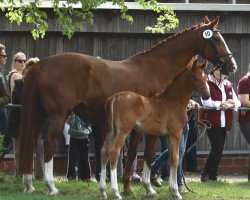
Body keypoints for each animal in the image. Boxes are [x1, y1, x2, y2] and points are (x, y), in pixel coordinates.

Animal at [99, 58, 209, 200]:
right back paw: (116, 192)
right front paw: (176, 192)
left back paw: (102, 191)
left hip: (111, 131)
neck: (173, 100)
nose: (207, 95)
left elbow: (164, 157)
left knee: (104, 152)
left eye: (206, 77)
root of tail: (114, 98)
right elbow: (175, 158)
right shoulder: (176, 133)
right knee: (114, 152)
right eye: (195, 78)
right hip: (122, 131)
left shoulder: (163, 135)